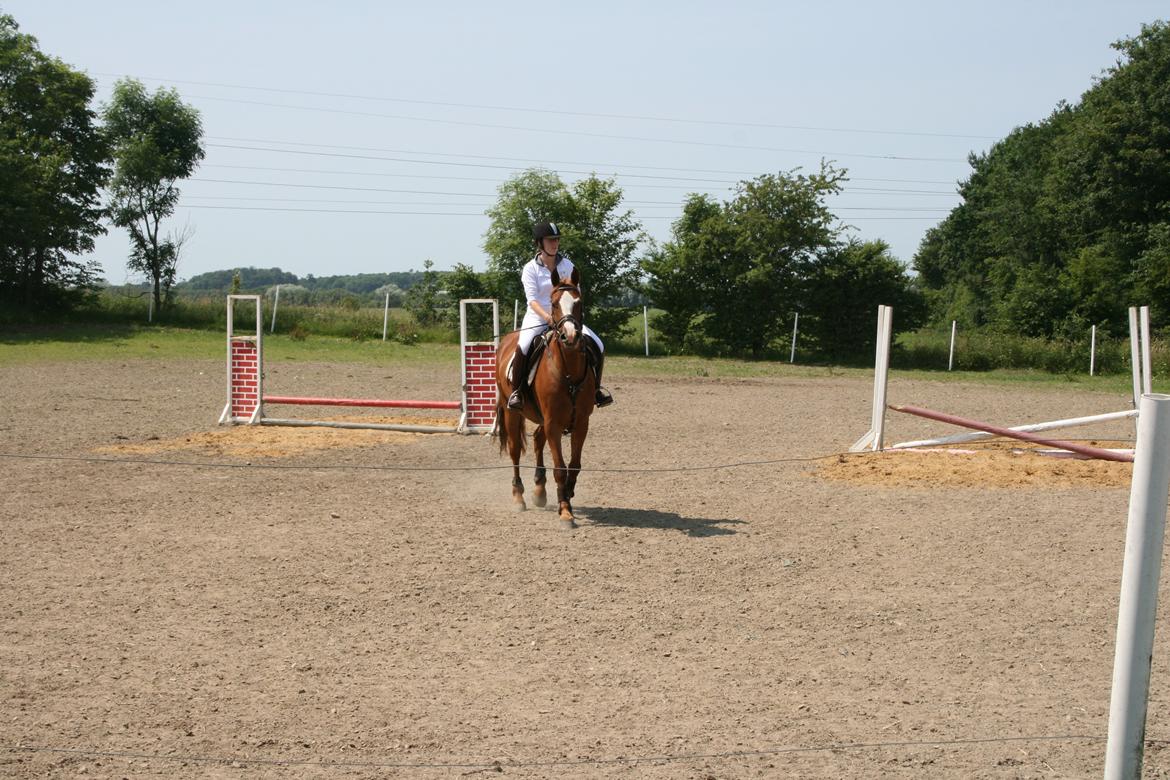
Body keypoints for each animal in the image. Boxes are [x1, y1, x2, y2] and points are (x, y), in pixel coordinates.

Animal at [491, 268, 599, 530]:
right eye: (554, 303)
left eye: (579, 302)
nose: (570, 336)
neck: (568, 369)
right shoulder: (553, 423)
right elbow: (560, 467)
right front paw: (565, 511)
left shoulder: (581, 423)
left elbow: (574, 465)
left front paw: (567, 493)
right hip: (511, 412)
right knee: (515, 450)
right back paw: (518, 496)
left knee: (538, 441)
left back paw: (540, 489)